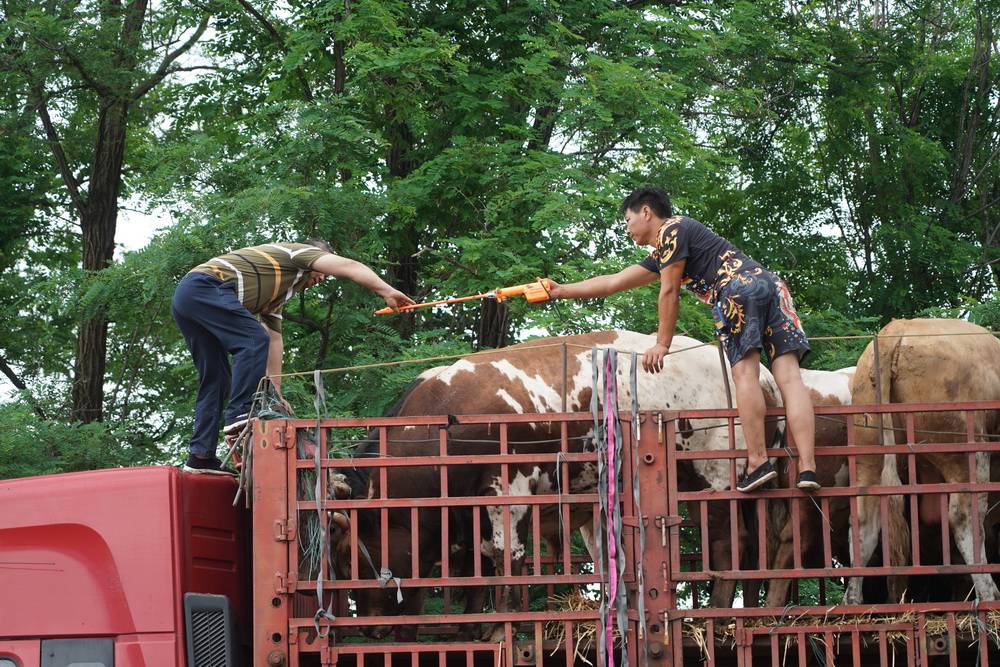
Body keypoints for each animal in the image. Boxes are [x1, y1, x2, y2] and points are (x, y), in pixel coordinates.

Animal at [844, 318, 1000, 604]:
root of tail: (894, 331)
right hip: (967, 452)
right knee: (964, 517)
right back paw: (988, 593)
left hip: (867, 456)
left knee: (863, 523)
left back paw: (853, 600)